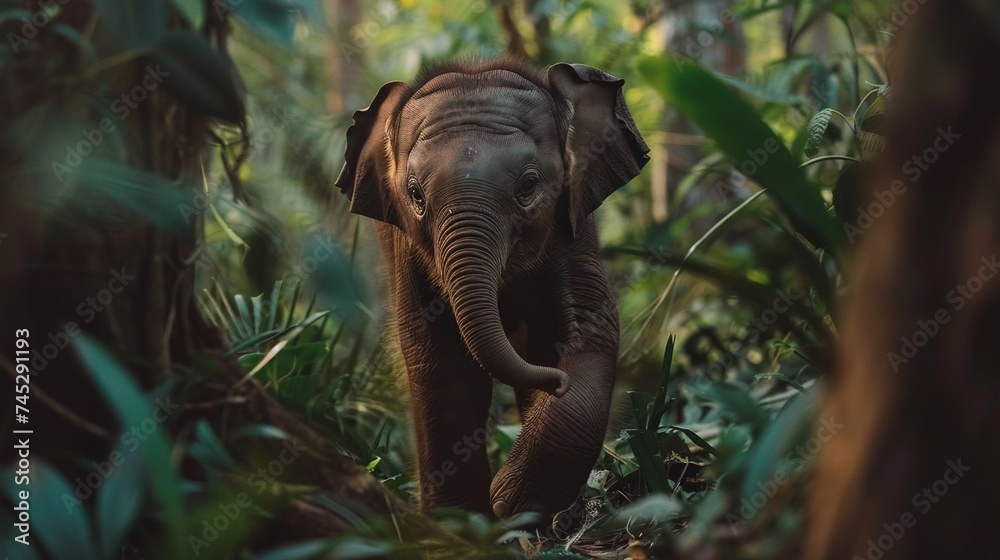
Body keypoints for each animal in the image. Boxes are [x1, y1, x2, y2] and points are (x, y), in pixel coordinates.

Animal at [336, 58, 648, 519]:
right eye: (415, 194)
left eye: (528, 186)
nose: (557, 383)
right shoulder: (406, 248)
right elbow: (437, 355)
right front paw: (462, 521)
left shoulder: (572, 222)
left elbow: (591, 329)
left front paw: (510, 503)